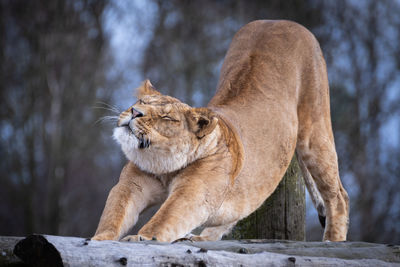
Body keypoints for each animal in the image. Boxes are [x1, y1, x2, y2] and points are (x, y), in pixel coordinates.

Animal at [92, 19, 348, 244]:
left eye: (166, 117)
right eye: (141, 101)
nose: (135, 111)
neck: (163, 166)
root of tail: (280, 21)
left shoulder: (192, 194)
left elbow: (164, 218)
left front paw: (141, 237)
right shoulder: (130, 186)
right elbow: (114, 214)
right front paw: (100, 239)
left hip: (314, 134)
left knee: (338, 196)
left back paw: (332, 240)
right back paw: (199, 237)